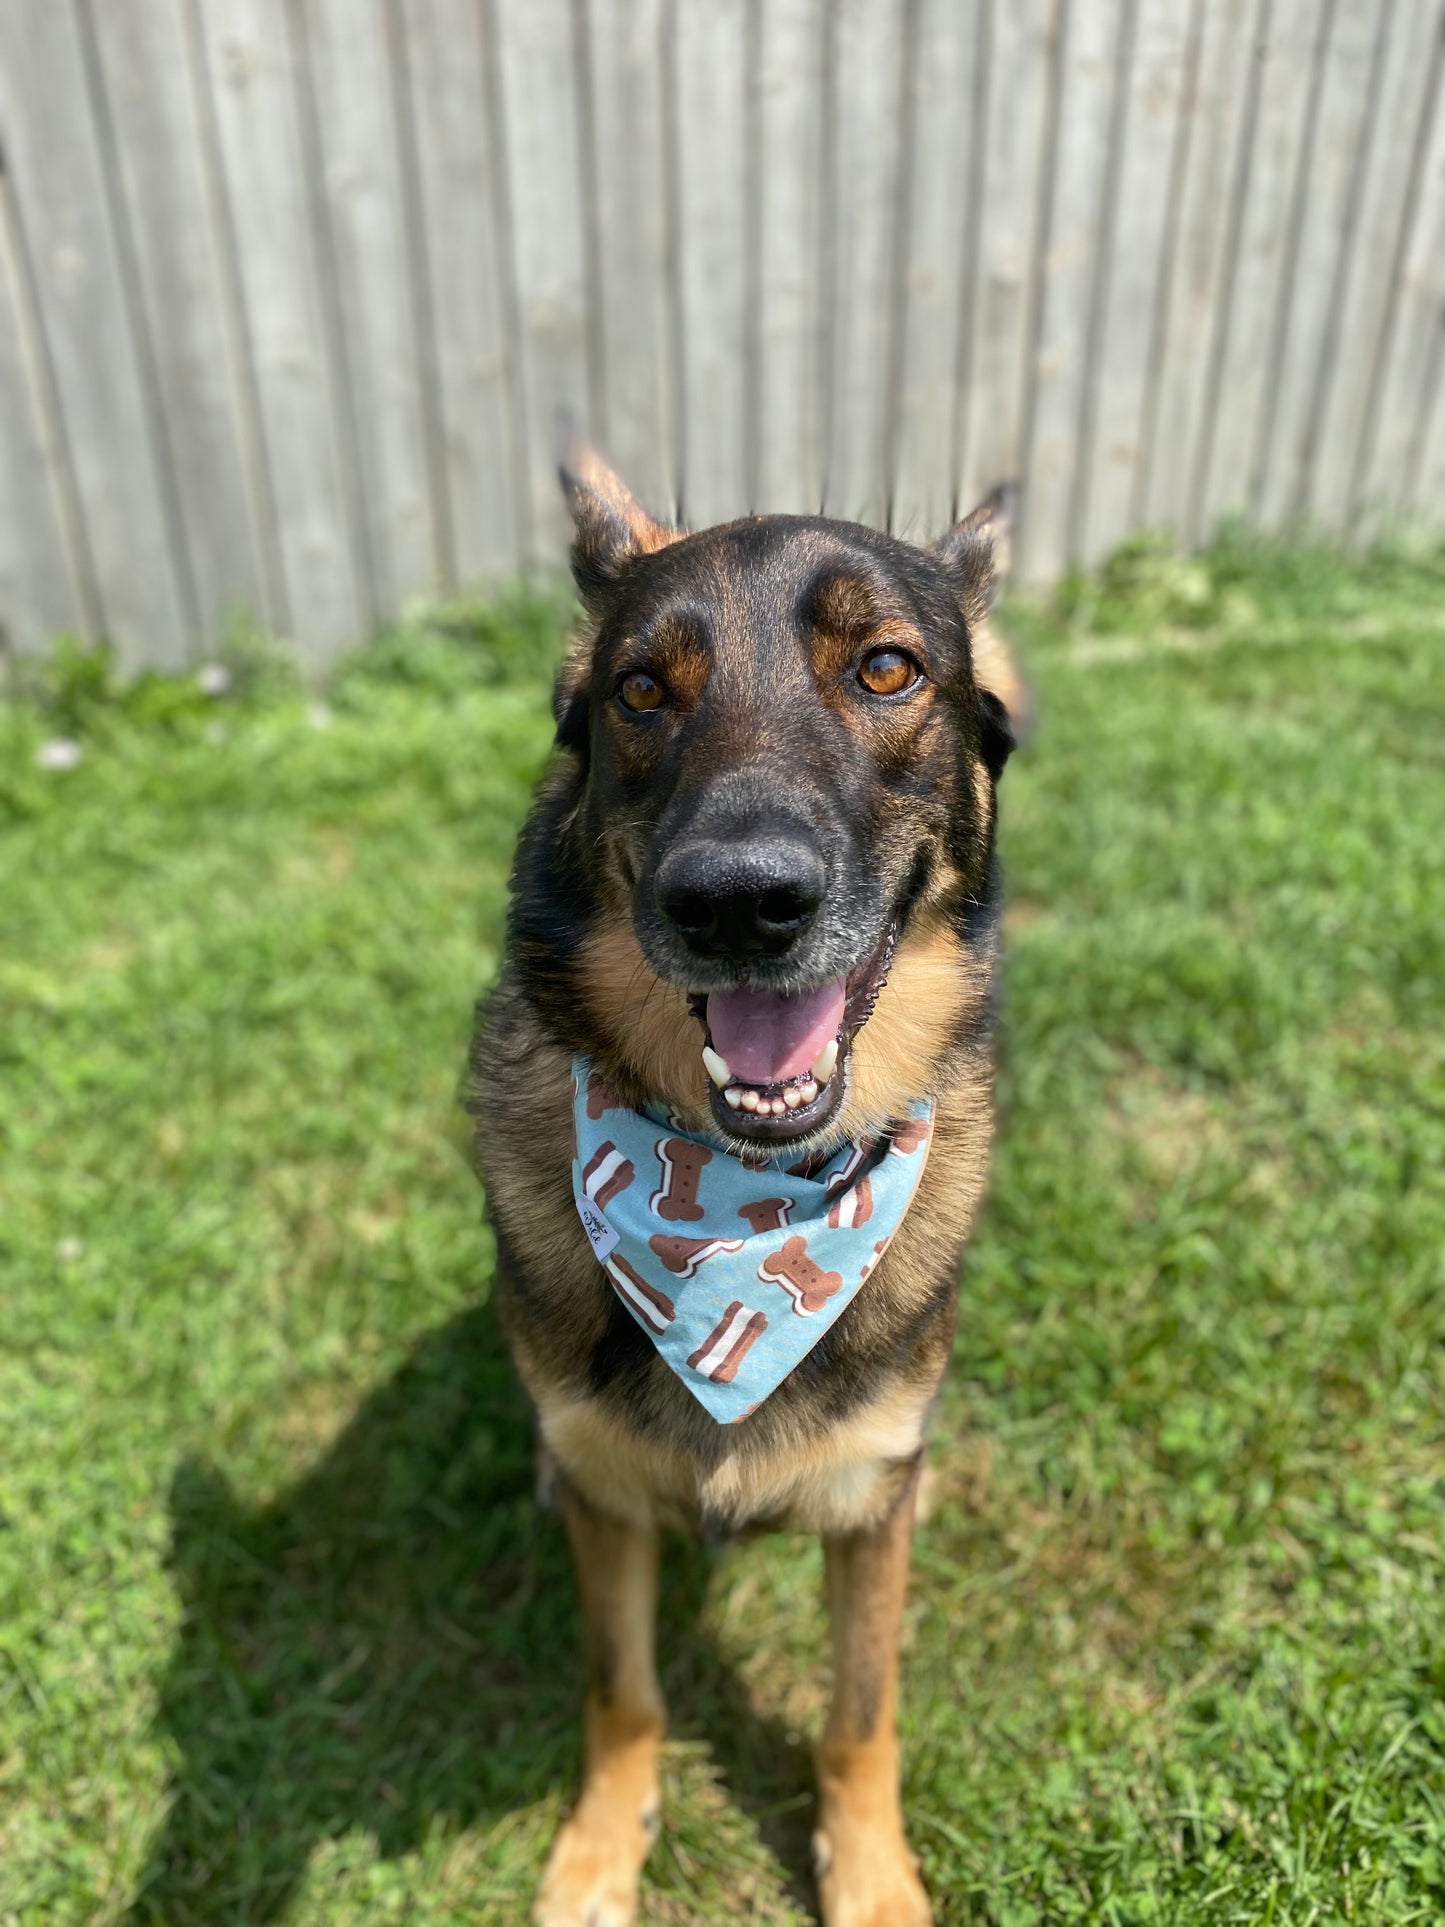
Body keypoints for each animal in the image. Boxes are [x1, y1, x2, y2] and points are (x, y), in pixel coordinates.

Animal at [470, 450, 1024, 1927]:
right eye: (639, 691)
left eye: (886, 668)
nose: (737, 903)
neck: (737, 1201)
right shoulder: (611, 1511)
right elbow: (622, 1692)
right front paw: (598, 1851)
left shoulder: (866, 1522)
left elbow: (857, 1714)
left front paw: (872, 1875)